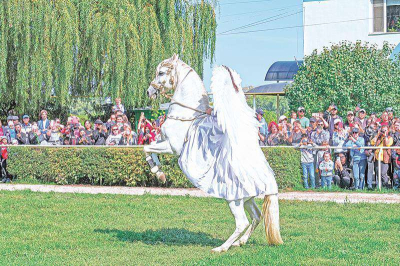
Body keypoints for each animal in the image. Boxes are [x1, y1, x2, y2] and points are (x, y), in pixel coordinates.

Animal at [144, 55, 282, 252]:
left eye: (161, 72)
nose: (150, 92)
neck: (187, 115)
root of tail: (268, 180)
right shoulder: (164, 141)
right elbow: (150, 147)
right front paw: (159, 172)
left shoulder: (172, 147)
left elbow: (146, 148)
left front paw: (158, 172)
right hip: (247, 198)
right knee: (256, 216)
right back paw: (240, 242)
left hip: (234, 200)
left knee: (242, 222)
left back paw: (221, 248)